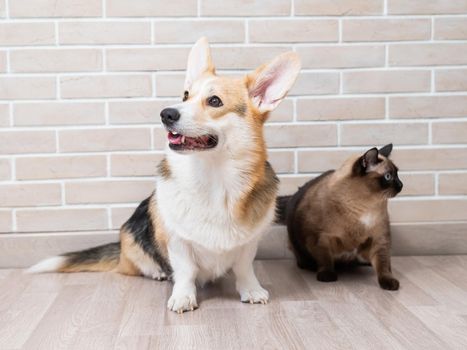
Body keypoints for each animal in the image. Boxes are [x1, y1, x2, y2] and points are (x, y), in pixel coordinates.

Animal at [27, 38, 302, 314]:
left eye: (214, 101)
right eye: (185, 95)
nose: (166, 113)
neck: (214, 177)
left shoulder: (249, 243)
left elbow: (244, 268)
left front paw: (251, 290)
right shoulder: (177, 240)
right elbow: (186, 271)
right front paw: (183, 297)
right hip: (132, 241)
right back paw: (157, 272)